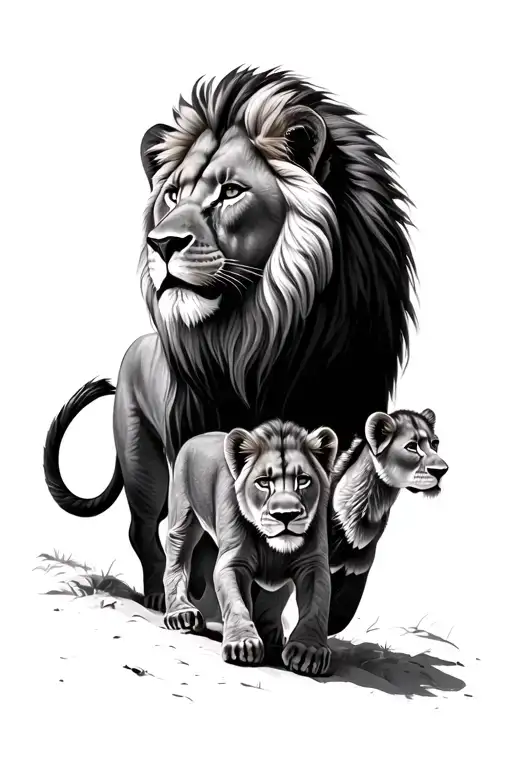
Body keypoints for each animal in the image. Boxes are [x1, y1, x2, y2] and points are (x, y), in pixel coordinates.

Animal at [43, 66, 416, 620]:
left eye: (231, 191)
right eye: (173, 195)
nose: (161, 243)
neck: (260, 343)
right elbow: (213, 538)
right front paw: (212, 607)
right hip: (143, 462)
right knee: (146, 530)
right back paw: (160, 595)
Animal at [163, 419, 337, 675]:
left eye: (303, 479)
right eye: (263, 482)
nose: (286, 515)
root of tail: (199, 436)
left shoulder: (313, 564)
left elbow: (316, 605)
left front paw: (309, 651)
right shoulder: (233, 562)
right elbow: (236, 602)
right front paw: (242, 643)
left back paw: (273, 633)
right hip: (182, 517)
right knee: (176, 559)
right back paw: (180, 612)